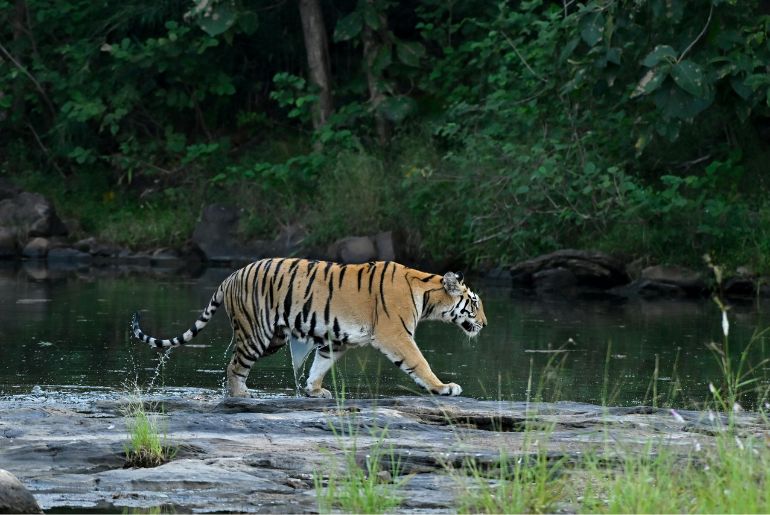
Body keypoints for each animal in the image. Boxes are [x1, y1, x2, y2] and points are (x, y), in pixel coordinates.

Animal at [131, 258, 487, 398]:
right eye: (474, 302)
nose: (485, 324)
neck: (427, 295)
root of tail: (230, 276)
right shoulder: (396, 334)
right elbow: (420, 363)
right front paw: (444, 387)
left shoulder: (336, 339)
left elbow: (320, 364)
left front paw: (314, 390)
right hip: (257, 333)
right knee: (234, 365)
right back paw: (241, 394)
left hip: (273, 336)